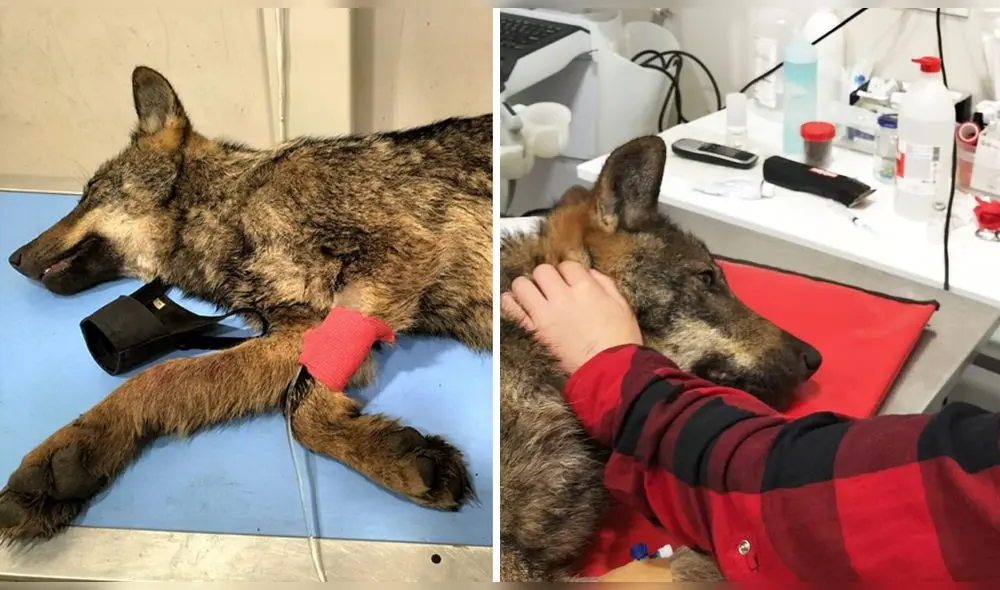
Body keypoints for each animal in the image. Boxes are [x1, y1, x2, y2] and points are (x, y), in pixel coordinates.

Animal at [1, 66, 492, 540]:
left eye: (89, 193)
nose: (13, 258)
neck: (232, 204)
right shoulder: (303, 329)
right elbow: (165, 378)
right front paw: (75, 452)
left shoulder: (400, 250)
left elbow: (295, 410)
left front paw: (383, 451)